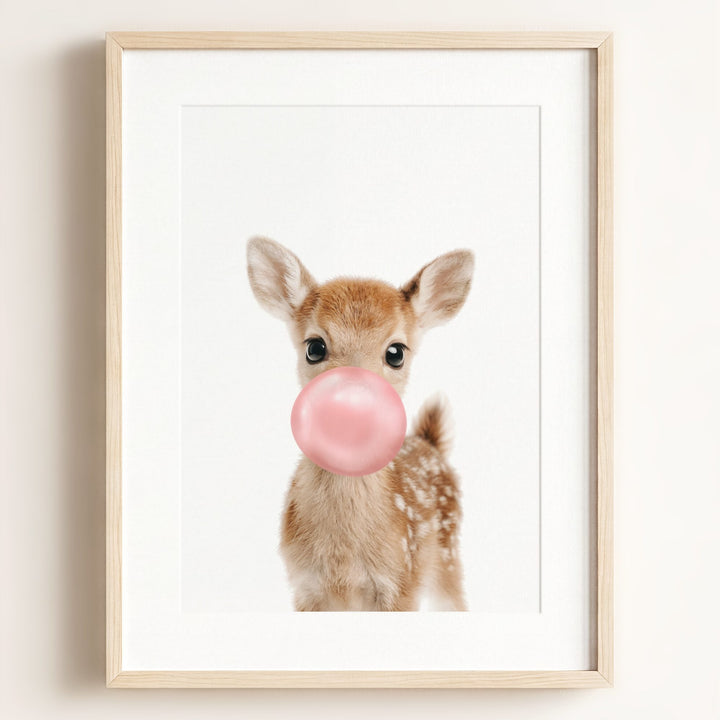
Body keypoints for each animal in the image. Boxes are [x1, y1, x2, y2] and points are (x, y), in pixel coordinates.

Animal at [246, 236, 474, 611]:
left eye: (396, 352)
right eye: (315, 347)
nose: (352, 402)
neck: (343, 561)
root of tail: (430, 442)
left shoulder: (401, 583)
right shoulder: (304, 587)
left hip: (448, 557)